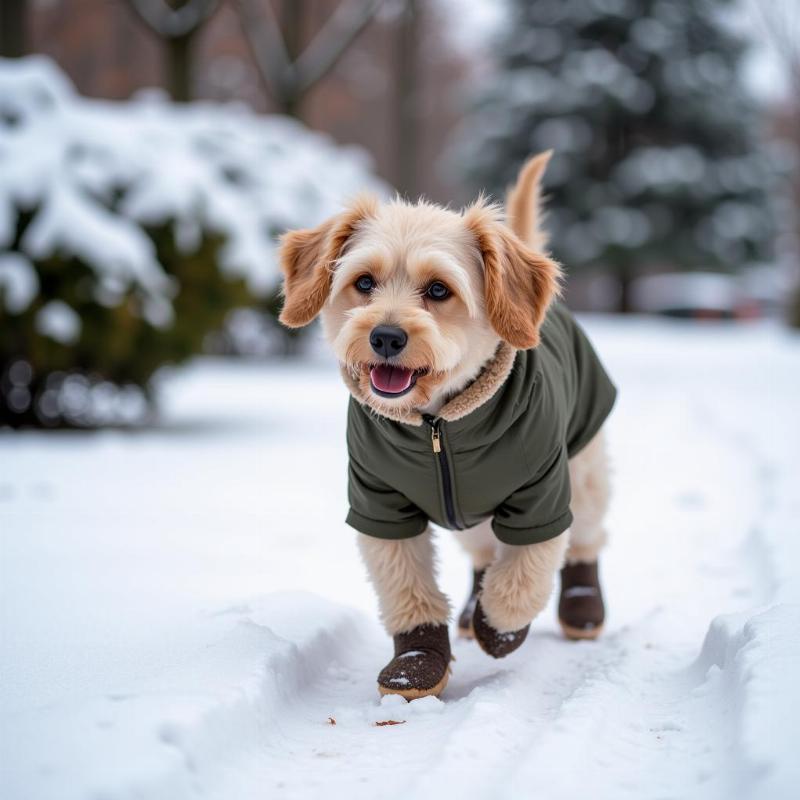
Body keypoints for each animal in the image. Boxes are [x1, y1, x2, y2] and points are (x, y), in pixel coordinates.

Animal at [278, 152, 616, 700]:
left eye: (439, 289)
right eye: (364, 282)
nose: (386, 336)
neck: (438, 425)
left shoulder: (543, 499)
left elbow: (523, 578)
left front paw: (498, 630)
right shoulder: (379, 508)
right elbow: (406, 587)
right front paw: (417, 663)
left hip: (585, 469)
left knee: (585, 538)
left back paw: (581, 606)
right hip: (475, 518)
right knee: (483, 553)